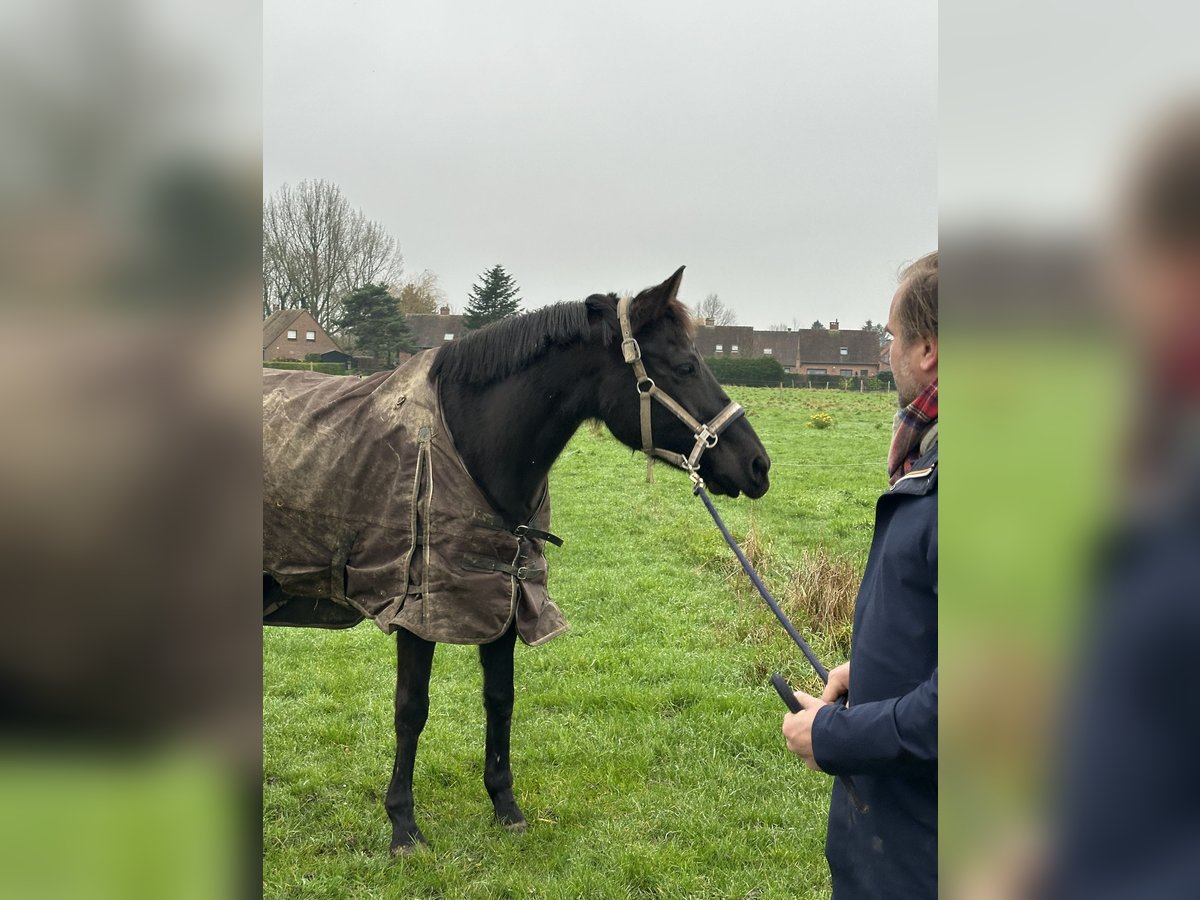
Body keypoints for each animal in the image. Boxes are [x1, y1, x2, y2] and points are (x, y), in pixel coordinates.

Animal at [262, 266, 768, 854]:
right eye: (685, 366)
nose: (758, 465)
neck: (469, 440)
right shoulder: (419, 609)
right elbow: (411, 711)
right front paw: (403, 824)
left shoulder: (506, 600)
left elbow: (500, 699)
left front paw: (505, 804)